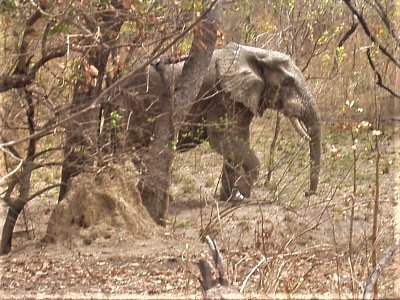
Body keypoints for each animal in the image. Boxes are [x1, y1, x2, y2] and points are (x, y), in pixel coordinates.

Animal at [122, 41, 322, 202]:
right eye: (287, 81)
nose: (307, 193)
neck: (258, 53)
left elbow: (237, 139)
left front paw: (230, 198)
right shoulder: (221, 96)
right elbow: (222, 138)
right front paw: (243, 192)